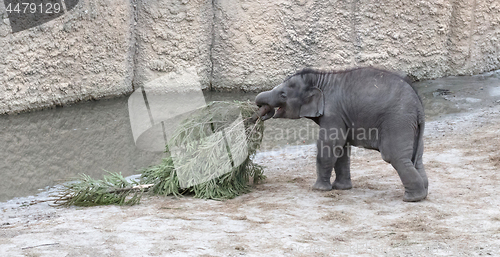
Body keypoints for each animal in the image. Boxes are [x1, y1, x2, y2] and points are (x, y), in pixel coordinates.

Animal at [256, 67, 428, 201]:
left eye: (283, 94)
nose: (261, 112)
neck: (319, 78)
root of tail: (419, 106)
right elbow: (341, 148)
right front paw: (341, 188)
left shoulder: (333, 112)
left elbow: (330, 144)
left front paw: (319, 189)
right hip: (412, 126)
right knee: (417, 158)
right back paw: (423, 194)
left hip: (398, 121)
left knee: (394, 156)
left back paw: (412, 198)